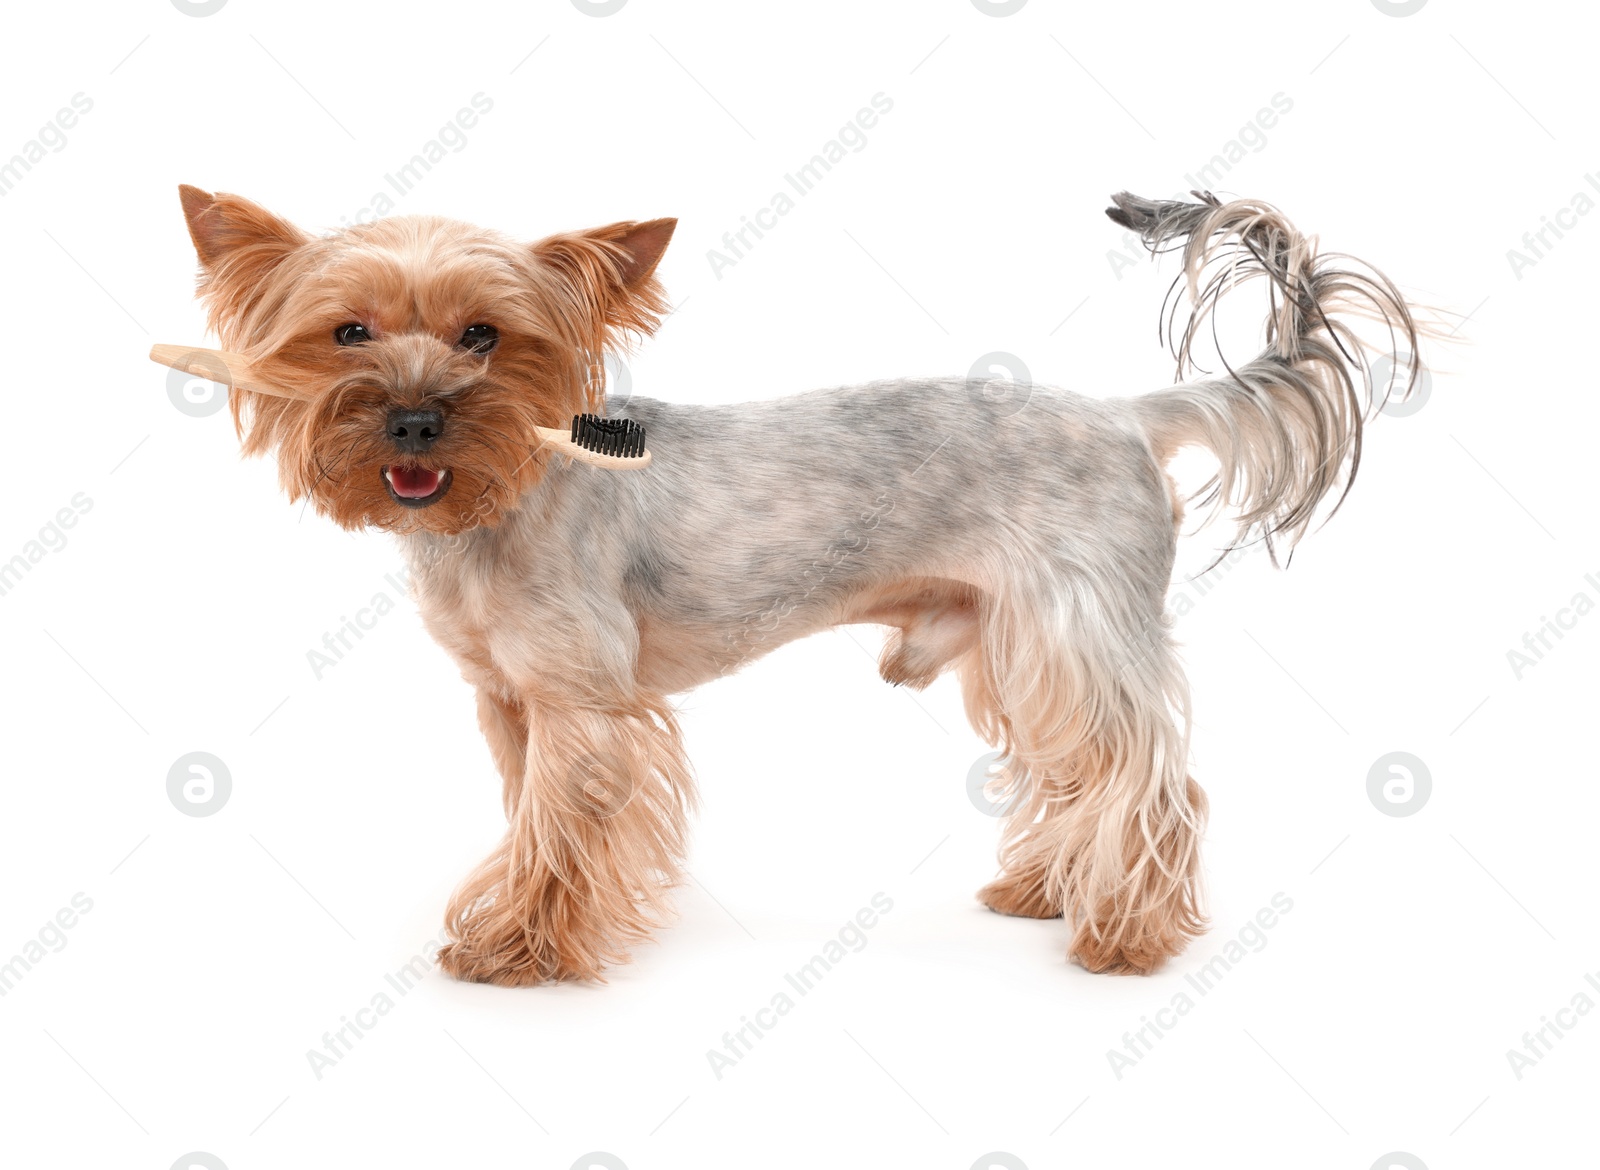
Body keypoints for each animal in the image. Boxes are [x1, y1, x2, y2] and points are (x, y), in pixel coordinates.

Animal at [175, 187, 1427, 985]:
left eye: (484, 337)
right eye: (347, 333)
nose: (414, 417)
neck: (503, 492)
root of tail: (1129, 414)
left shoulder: (585, 704)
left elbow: (559, 828)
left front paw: (518, 952)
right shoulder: (513, 703)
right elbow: (531, 816)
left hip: (1078, 628)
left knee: (1150, 780)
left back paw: (1127, 936)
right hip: (1018, 643)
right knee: (1081, 773)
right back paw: (1051, 891)